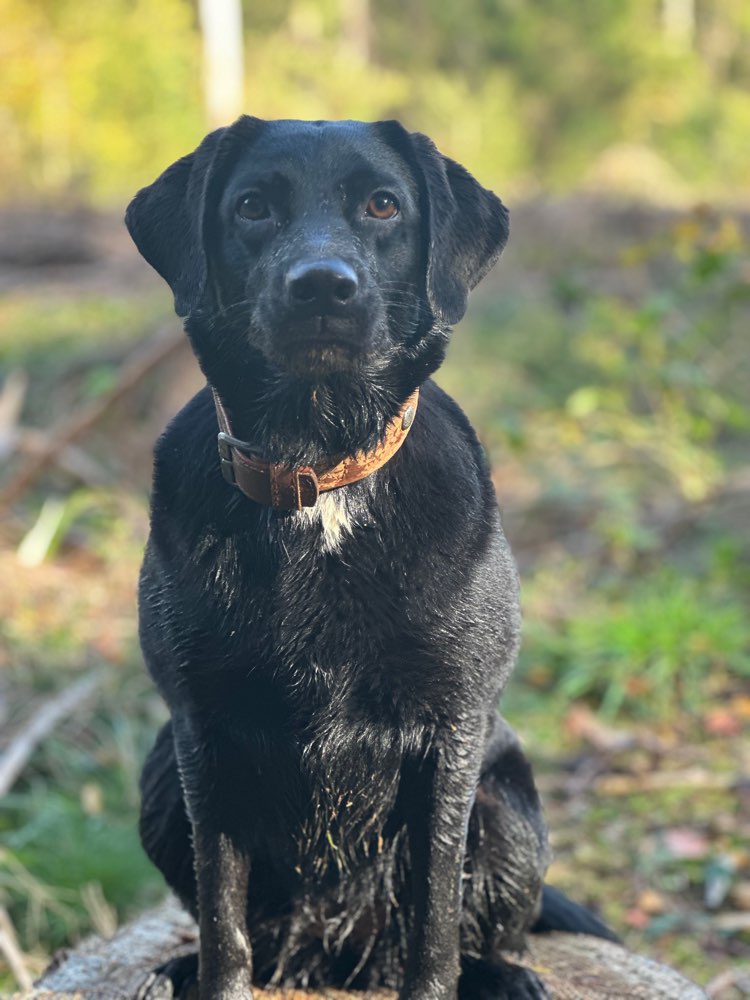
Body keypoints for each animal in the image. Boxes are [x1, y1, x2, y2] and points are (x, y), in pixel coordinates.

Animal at [128, 119, 612, 1000]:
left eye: (383, 205)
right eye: (251, 207)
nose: (323, 286)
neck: (319, 473)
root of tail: (338, 954)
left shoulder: (450, 736)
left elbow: (435, 917)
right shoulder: (201, 735)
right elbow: (222, 920)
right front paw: (209, 973)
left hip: (510, 804)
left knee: (484, 930)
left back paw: (507, 976)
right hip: (157, 779)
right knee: (250, 929)